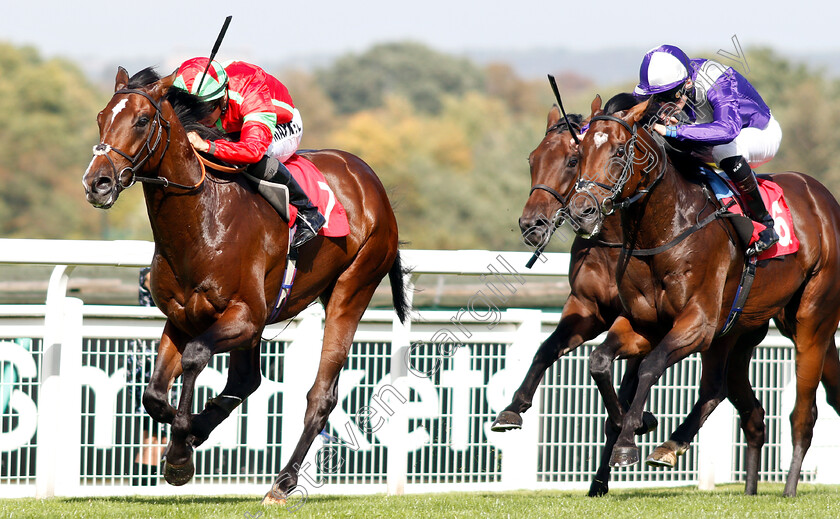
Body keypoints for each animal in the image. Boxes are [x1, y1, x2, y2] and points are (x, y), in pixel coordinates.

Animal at [80, 68, 408, 504]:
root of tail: (369, 179)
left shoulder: (245, 316)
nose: (97, 182)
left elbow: (195, 356)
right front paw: (186, 436)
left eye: (142, 120)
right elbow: (154, 395)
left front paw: (181, 450)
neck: (201, 221)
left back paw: (282, 483)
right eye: (101, 117)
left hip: (352, 288)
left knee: (321, 395)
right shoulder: (182, 317)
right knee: (246, 380)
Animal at [492, 95, 776, 498]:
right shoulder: (590, 308)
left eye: (571, 160)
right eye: (533, 159)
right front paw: (514, 408)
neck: (616, 241)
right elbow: (552, 350)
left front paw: (633, 429)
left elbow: (628, 382)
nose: (532, 224)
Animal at [572, 99, 840, 498]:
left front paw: (627, 442)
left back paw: (790, 487)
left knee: (803, 413)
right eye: (581, 151)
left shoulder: (698, 321)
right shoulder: (645, 324)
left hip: (812, 322)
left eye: (619, 151)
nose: (582, 210)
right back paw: (696, 457)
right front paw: (633, 425)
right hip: (740, 330)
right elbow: (599, 361)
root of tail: (823, 198)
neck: (665, 227)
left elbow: (651, 365)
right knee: (726, 393)